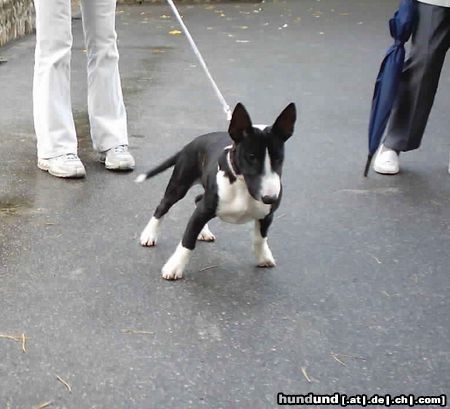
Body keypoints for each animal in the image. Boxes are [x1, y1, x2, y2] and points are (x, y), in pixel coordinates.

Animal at [137, 103, 298, 278]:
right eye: (251, 157)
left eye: (278, 158)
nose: (270, 198)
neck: (242, 186)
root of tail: (191, 143)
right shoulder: (202, 211)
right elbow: (188, 240)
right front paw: (174, 267)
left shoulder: (267, 215)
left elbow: (260, 238)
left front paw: (264, 257)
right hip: (179, 184)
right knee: (163, 206)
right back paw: (149, 235)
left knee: (197, 198)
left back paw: (203, 233)